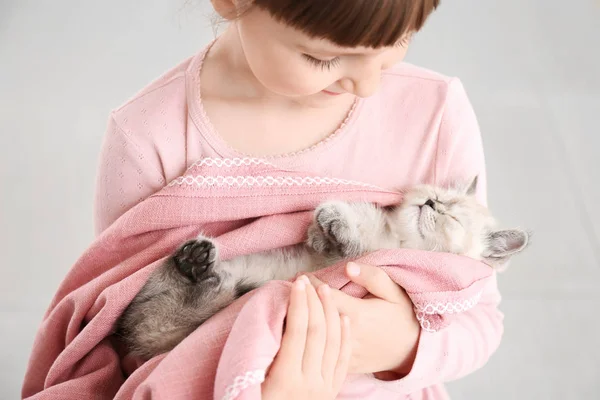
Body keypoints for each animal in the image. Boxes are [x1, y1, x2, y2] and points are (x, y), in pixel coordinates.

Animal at [115, 178, 528, 360]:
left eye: (451, 215)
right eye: (436, 196)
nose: (428, 202)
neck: (397, 240)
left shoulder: (361, 260)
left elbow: (352, 244)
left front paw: (337, 226)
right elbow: (340, 230)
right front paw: (326, 223)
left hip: (196, 313)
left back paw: (205, 272)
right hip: (163, 307)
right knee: (153, 308)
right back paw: (195, 259)